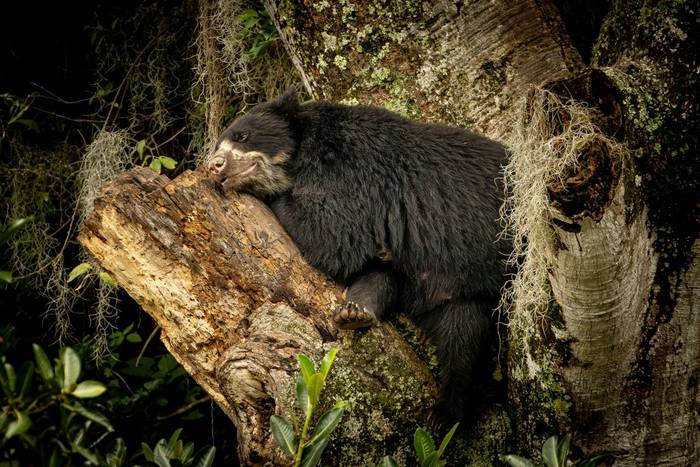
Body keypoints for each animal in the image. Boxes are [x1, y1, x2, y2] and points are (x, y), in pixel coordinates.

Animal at [206, 88, 508, 423]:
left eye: (242, 136)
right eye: (219, 145)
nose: (214, 165)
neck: (301, 155)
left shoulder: (349, 169)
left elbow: (333, 235)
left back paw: (447, 412)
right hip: (453, 285)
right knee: (461, 334)